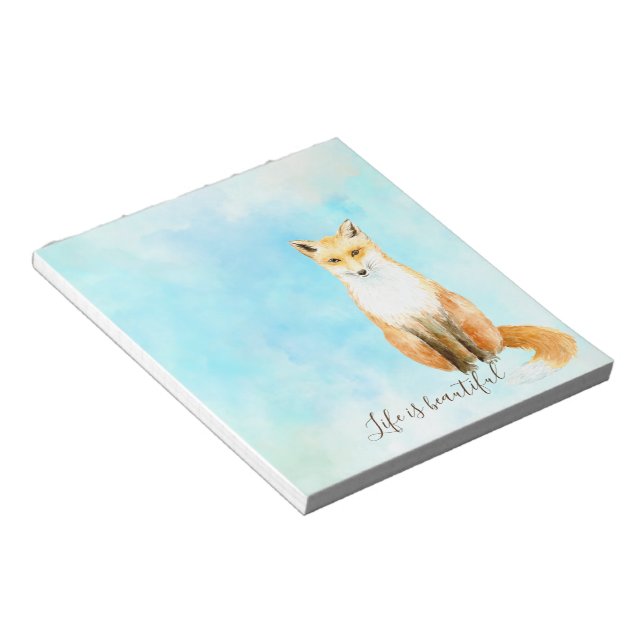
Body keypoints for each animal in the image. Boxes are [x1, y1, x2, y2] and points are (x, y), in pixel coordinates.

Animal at [290, 219, 576, 383]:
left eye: (355, 252)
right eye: (335, 260)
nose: (361, 272)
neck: (390, 292)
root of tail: (498, 330)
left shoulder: (432, 310)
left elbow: (460, 339)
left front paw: (483, 359)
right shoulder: (408, 325)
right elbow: (446, 349)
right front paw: (466, 368)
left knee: (492, 344)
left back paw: (490, 353)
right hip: (401, 340)